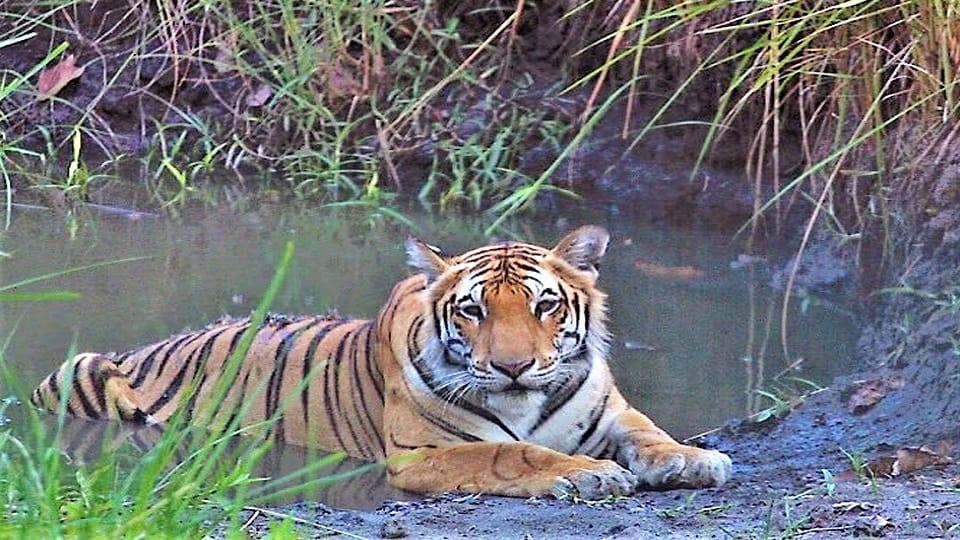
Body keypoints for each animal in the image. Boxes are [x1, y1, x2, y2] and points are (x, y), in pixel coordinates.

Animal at [32, 225, 732, 499]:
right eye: (473, 310)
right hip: (77, 373)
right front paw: (589, 475)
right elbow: (511, 453)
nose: (512, 367)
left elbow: (649, 432)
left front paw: (696, 460)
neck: (524, 400)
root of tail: (129, 349)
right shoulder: (422, 452)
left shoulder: (611, 411)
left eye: (546, 305)